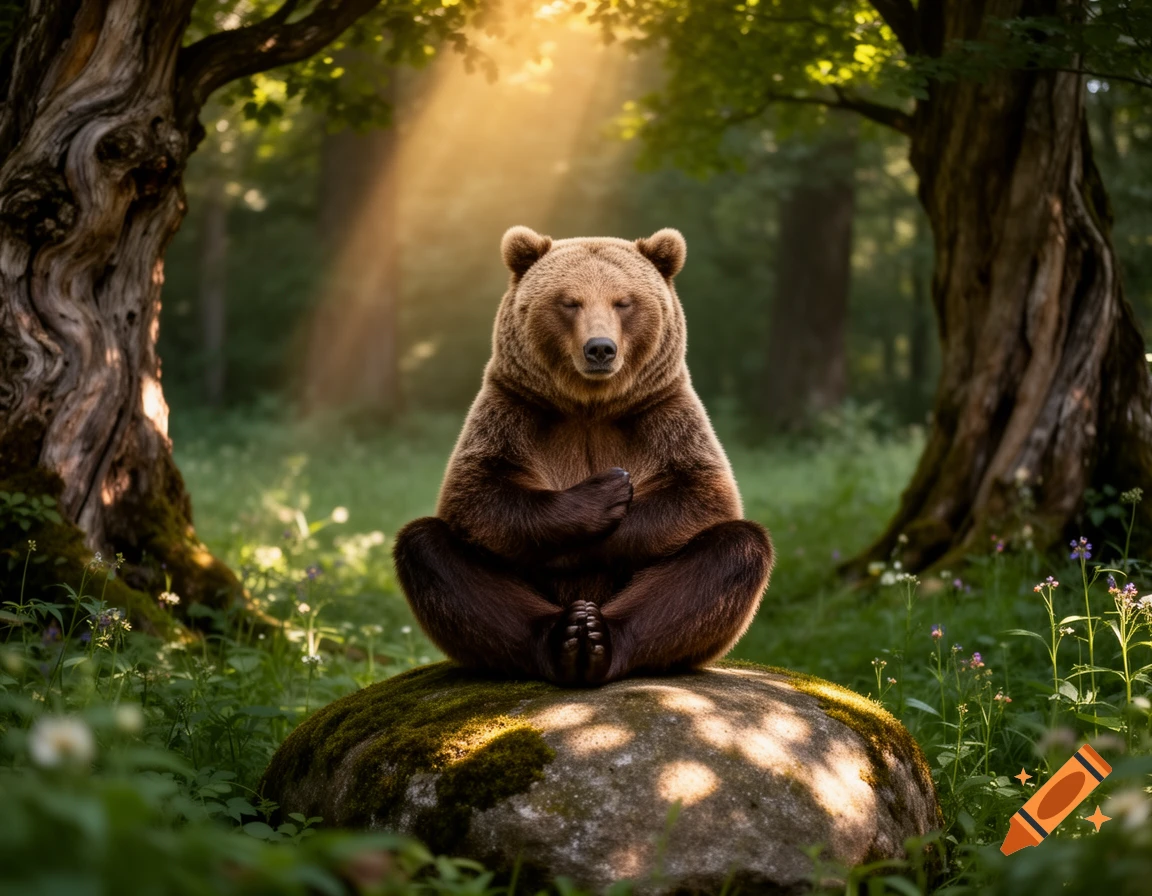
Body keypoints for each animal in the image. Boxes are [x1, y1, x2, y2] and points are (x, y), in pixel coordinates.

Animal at [391, 226, 774, 686]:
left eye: (624, 301)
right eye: (569, 301)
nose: (600, 348)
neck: (590, 406)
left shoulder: (663, 414)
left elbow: (702, 494)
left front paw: (611, 503)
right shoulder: (513, 411)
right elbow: (478, 494)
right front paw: (604, 492)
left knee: (734, 550)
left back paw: (597, 637)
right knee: (428, 548)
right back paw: (564, 637)